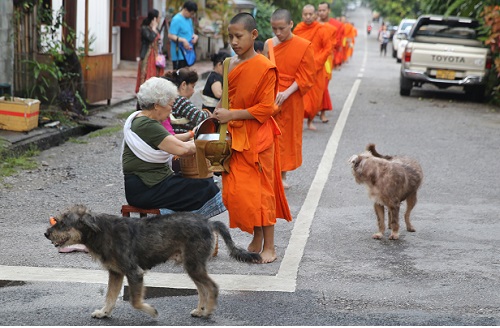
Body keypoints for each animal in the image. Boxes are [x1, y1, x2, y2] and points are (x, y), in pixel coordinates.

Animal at [44, 204, 260, 320]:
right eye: (57, 220)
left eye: (63, 223)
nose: (46, 234)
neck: (100, 231)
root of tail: (208, 222)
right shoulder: (116, 273)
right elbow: (110, 297)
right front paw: (104, 312)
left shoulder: (134, 272)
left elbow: (135, 301)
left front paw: (151, 311)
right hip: (193, 266)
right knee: (202, 289)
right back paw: (201, 310)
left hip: (194, 265)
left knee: (212, 287)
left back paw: (208, 312)